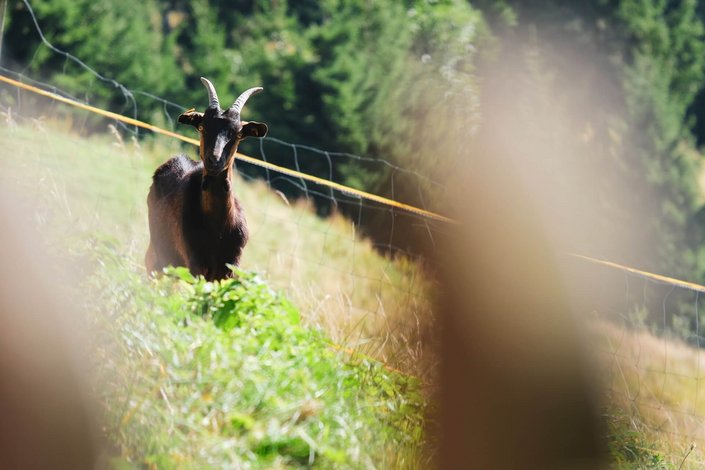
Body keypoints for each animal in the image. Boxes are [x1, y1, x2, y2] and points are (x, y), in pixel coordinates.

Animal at [145, 77, 267, 281]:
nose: (214, 160)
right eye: (202, 127)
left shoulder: (229, 267)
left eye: (238, 134)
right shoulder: (195, 264)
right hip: (160, 253)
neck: (218, 230)